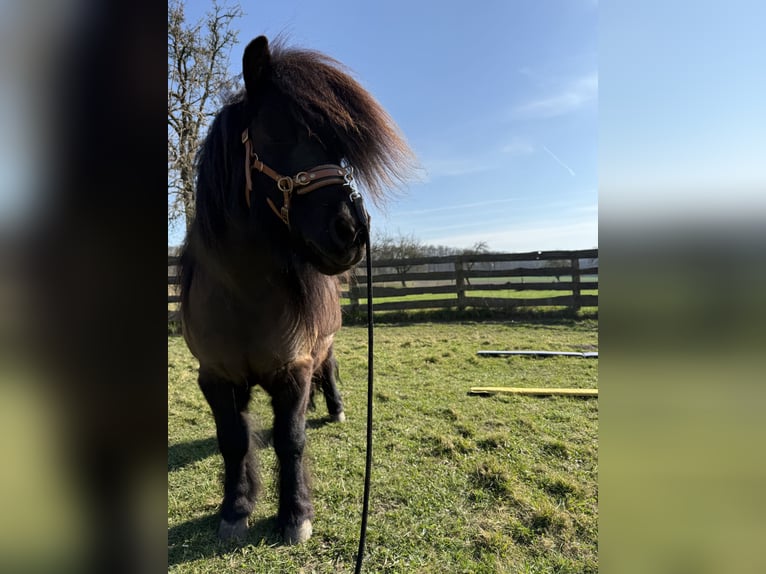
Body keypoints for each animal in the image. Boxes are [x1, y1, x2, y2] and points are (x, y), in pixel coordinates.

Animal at [178, 35, 416, 544]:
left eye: (339, 149)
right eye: (278, 132)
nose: (352, 230)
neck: (242, 296)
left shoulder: (295, 369)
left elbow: (292, 439)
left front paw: (294, 515)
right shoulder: (215, 377)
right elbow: (234, 441)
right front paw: (236, 508)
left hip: (324, 345)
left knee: (330, 370)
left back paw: (335, 408)